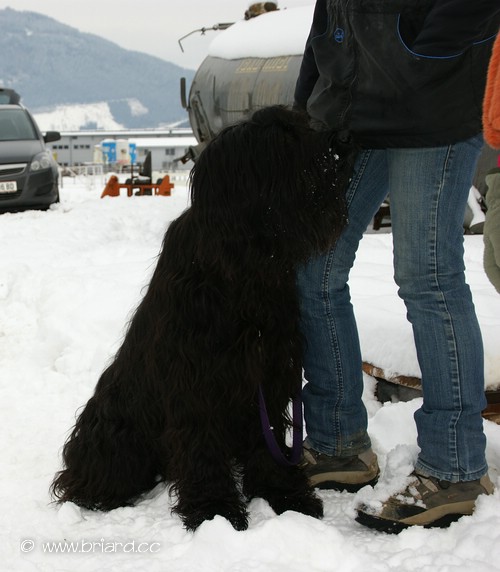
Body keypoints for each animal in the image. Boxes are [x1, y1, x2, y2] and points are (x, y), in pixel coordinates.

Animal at [51, 106, 352, 532]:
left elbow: (270, 441)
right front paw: (215, 509)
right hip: (114, 428)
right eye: (285, 139)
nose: (344, 140)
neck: (246, 263)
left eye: (304, 125)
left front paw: (285, 495)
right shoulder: (196, 377)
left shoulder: (270, 370)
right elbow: (201, 445)